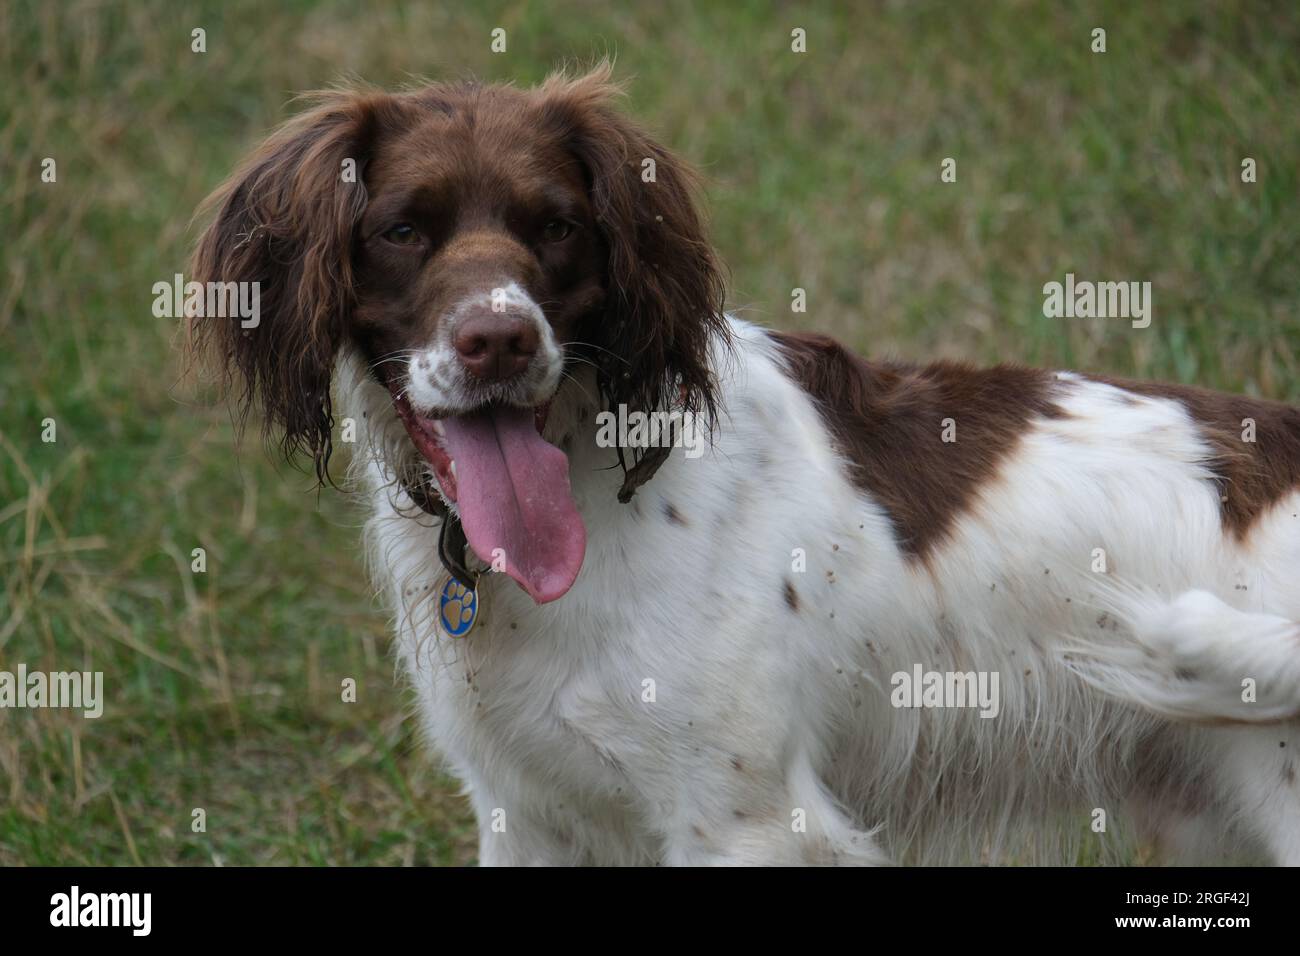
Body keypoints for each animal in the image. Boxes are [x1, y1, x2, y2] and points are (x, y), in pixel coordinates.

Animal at [188, 63, 1300, 863]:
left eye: (557, 225)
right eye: (401, 230)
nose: (498, 341)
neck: (596, 485)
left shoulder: (744, 821)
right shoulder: (527, 814)